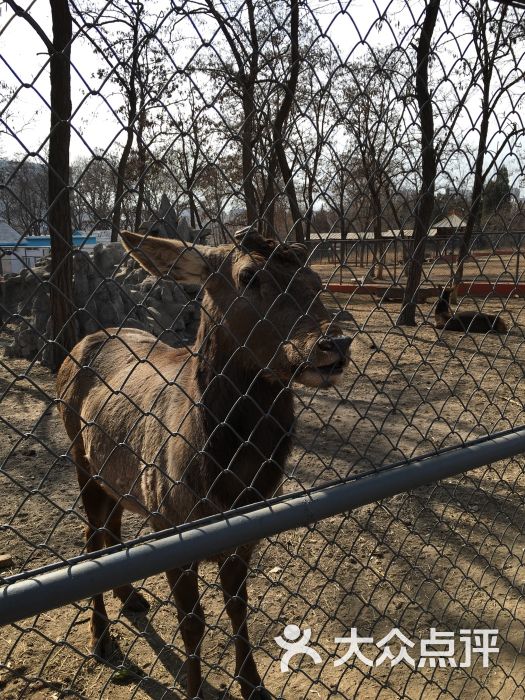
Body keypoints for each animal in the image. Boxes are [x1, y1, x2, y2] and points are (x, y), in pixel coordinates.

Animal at [56, 228, 352, 700]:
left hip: (115, 475)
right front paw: (196, 690)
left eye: (316, 278)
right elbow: (192, 625)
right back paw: (100, 639)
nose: (334, 343)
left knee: (112, 529)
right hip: (79, 457)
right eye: (248, 275)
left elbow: (239, 610)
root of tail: (77, 346)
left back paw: (131, 597)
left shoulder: (245, 536)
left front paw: (253, 686)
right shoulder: (171, 525)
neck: (226, 486)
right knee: (91, 539)